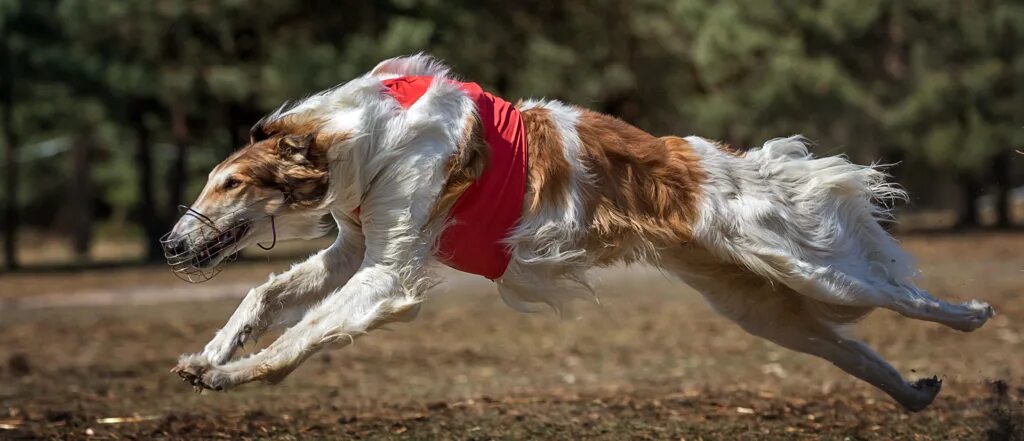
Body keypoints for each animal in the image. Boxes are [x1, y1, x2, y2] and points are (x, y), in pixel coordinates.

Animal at [165, 53, 991, 413]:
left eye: (230, 182)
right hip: (758, 304)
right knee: (849, 344)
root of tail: (714, 158)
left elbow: (301, 333)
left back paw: (972, 313)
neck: (364, 135)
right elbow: (264, 297)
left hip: (798, 260)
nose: (172, 244)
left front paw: (237, 373)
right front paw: (207, 356)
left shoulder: (388, 271)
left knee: (901, 293)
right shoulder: (353, 250)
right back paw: (913, 391)